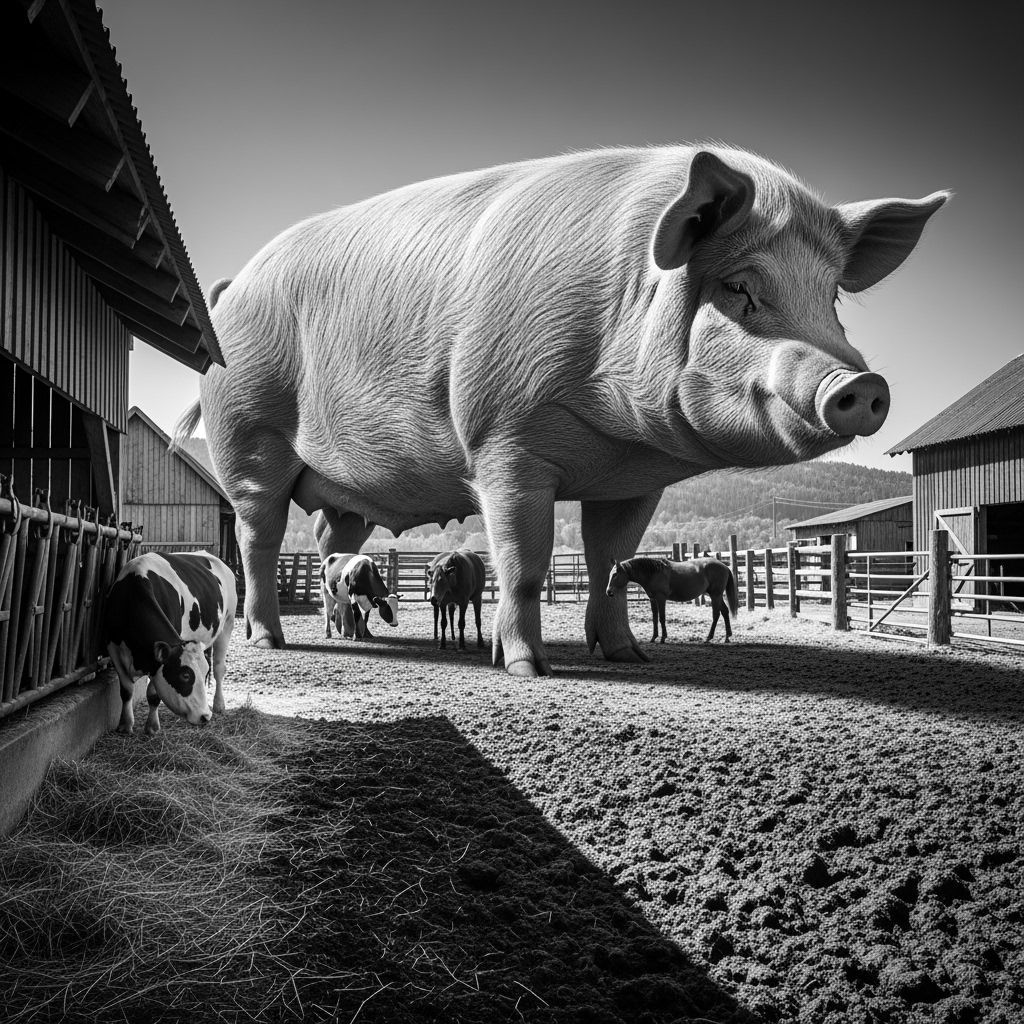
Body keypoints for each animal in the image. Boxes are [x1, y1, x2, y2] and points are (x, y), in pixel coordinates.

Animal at [173, 145, 947, 676]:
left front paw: (629, 658)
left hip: (345, 493)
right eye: (737, 287)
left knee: (333, 541)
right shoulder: (503, 440)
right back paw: (271, 640)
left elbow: (610, 561)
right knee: (258, 539)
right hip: (249, 438)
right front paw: (526, 669)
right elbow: (525, 562)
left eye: (832, 296)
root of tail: (231, 286)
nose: (863, 383)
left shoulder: (632, 481)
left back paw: (353, 635)